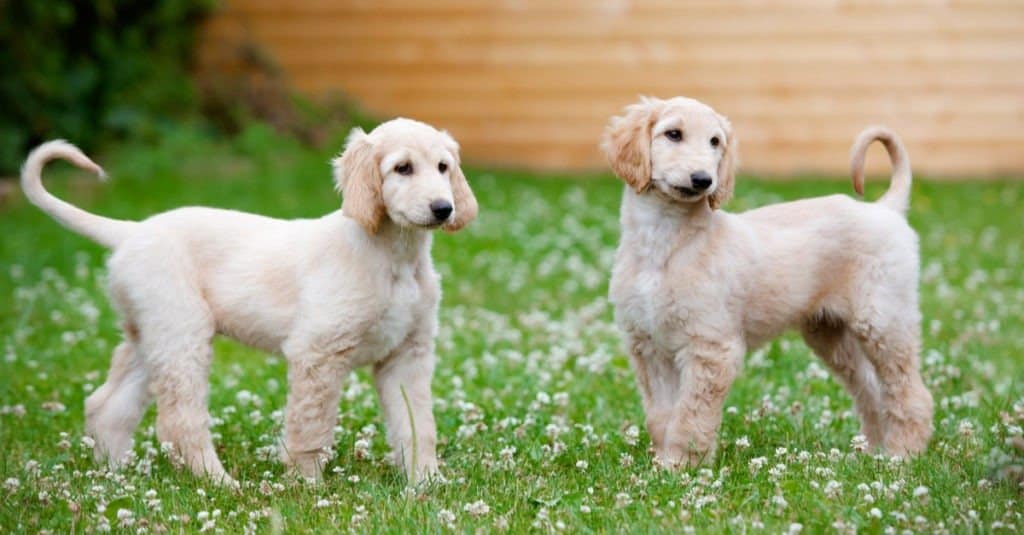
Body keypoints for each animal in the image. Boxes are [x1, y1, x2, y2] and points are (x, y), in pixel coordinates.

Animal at [19, 116, 475, 483]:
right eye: (402, 168)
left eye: (443, 167)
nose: (443, 208)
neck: (394, 257)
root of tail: (131, 231)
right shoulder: (317, 352)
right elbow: (310, 427)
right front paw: (307, 485)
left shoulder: (407, 355)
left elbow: (418, 426)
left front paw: (425, 484)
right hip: (182, 333)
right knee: (178, 421)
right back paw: (219, 482)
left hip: (151, 336)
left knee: (107, 405)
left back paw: (113, 476)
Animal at [598, 96, 937, 467]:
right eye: (673, 134)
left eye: (715, 142)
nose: (703, 180)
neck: (666, 242)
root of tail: (885, 208)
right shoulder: (648, 347)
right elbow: (661, 415)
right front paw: (662, 464)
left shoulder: (711, 347)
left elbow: (690, 415)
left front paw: (683, 464)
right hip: (832, 334)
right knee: (872, 390)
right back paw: (873, 451)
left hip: (884, 321)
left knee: (910, 393)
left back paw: (903, 453)